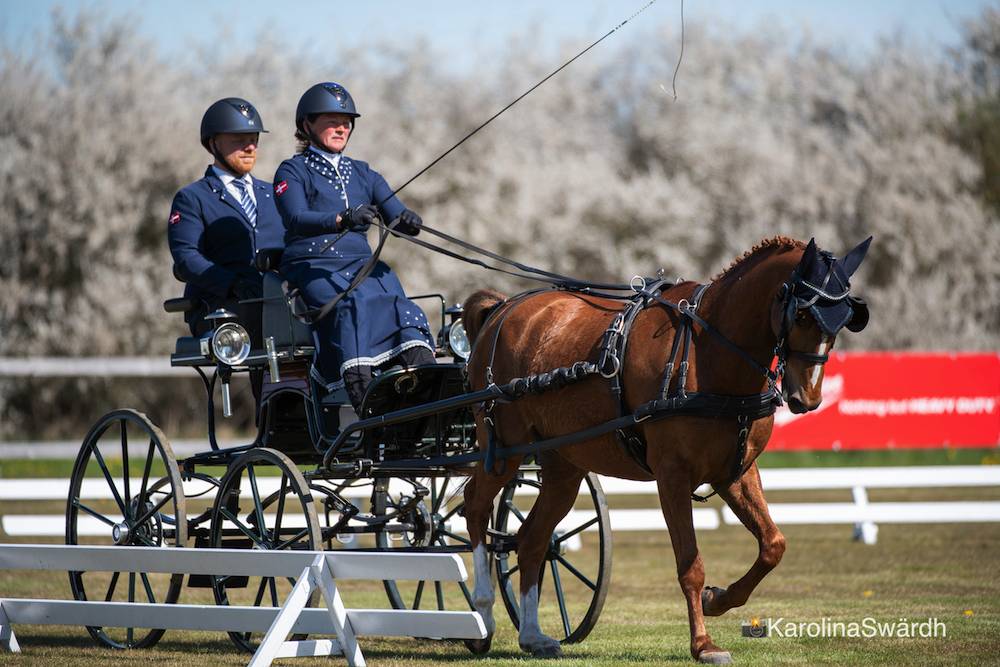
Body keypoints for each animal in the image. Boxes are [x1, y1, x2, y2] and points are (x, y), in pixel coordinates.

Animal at [460, 235, 872, 663]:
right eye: (803, 315)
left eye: (845, 319)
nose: (806, 398)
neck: (708, 353)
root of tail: (502, 309)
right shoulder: (672, 475)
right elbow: (691, 564)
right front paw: (703, 644)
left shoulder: (736, 473)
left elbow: (773, 544)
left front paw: (717, 599)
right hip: (503, 450)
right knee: (475, 507)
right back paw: (482, 616)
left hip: (563, 466)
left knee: (532, 539)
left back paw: (532, 635)